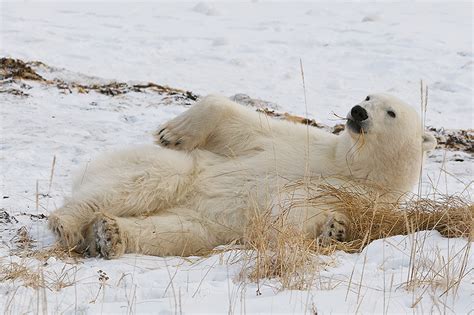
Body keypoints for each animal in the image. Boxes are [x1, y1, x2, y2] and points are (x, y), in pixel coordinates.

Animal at [48, 93, 436, 260]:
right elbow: (242, 124)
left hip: (200, 222)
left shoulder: (364, 199)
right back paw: (69, 223)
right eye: (368, 95)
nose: (357, 112)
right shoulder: (303, 146)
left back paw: (108, 234)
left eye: (391, 112)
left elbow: (287, 217)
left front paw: (335, 229)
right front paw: (172, 131)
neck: (352, 166)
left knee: (174, 232)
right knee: (160, 175)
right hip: (178, 171)